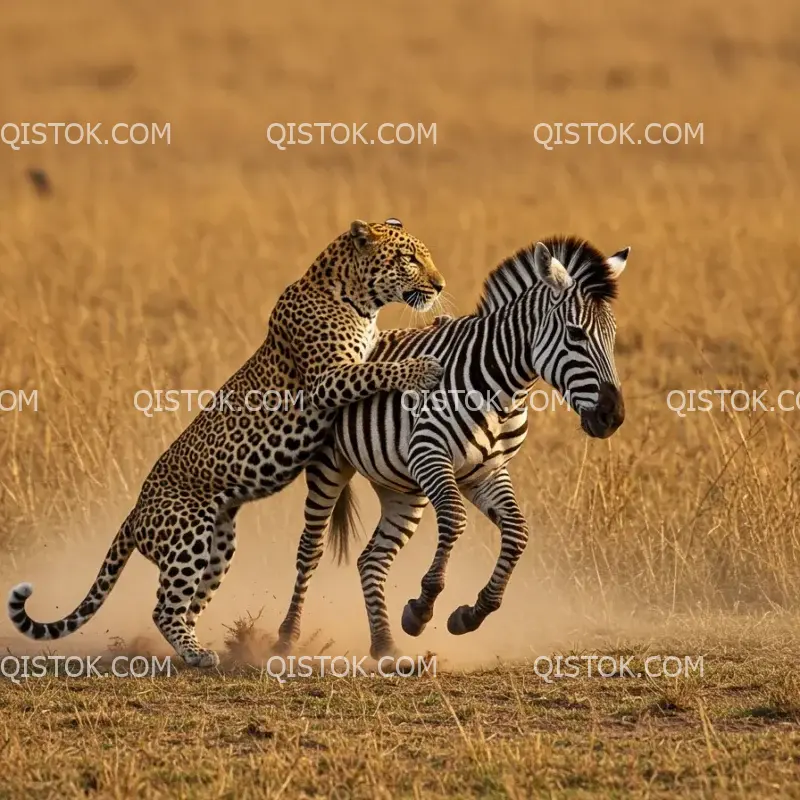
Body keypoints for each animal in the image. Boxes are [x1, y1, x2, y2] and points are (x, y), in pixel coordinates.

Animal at [6, 219, 446, 668]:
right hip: (188, 538)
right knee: (164, 608)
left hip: (219, 545)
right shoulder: (330, 378)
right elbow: (377, 371)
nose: (440, 285)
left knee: (189, 605)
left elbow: (383, 351)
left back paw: (210, 647)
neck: (356, 299)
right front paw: (422, 368)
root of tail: (135, 513)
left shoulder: (364, 349)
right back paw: (198, 654)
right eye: (409, 258)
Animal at [276, 234, 632, 660]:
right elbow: (456, 520)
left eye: (613, 337)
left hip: (402, 489)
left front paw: (471, 614)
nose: (613, 417)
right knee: (310, 549)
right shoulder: (430, 455)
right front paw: (422, 607)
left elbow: (518, 532)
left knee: (371, 560)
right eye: (576, 334)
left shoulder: (487, 473)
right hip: (329, 467)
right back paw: (287, 636)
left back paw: (384, 645)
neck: (503, 387)